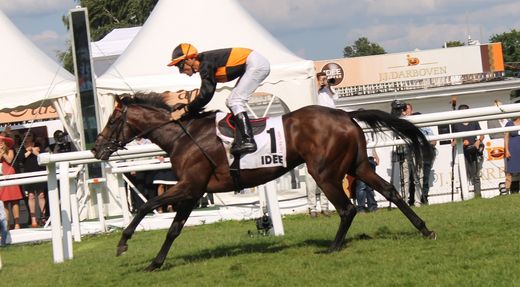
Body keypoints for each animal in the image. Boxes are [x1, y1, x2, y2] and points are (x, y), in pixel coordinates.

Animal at [91, 93, 436, 272]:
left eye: (113, 120)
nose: (96, 148)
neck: (181, 137)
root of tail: (346, 116)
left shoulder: (189, 186)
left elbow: (146, 205)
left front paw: (123, 243)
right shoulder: (194, 191)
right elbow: (174, 229)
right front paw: (156, 262)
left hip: (324, 172)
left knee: (347, 209)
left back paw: (333, 247)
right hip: (359, 165)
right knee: (390, 191)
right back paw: (425, 230)